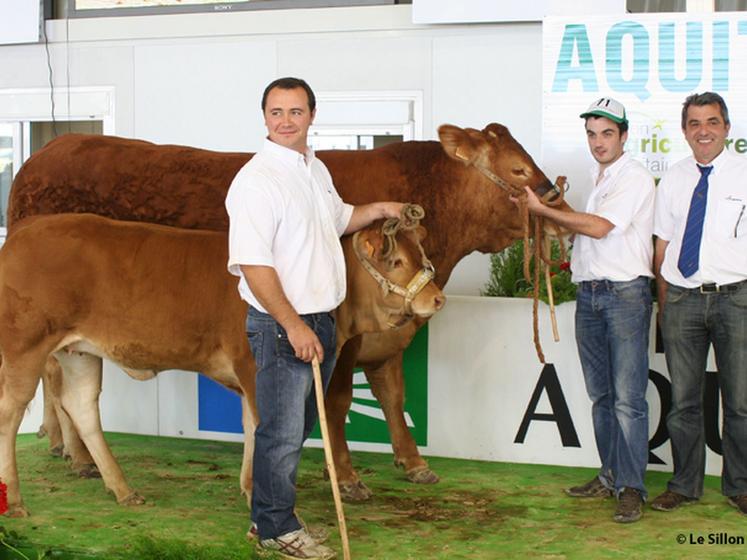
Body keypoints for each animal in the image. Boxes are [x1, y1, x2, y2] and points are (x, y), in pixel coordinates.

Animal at [0, 213, 444, 516]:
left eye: (420, 254)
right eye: (396, 262)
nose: (437, 298)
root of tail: (23, 231)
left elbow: (251, 428)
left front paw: (248, 487)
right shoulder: (255, 366)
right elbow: (265, 428)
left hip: (79, 351)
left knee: (82, 406)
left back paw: (123, 488)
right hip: (24, 347)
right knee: (10, 414)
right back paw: (16, 499)